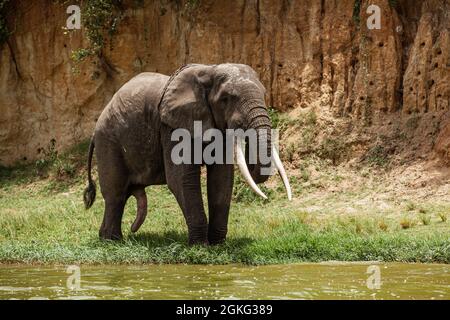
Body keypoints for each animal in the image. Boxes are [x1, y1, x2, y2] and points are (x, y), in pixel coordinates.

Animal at [83, 63, 292, 246]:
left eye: (264, 95)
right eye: (226, 99)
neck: (209, 70)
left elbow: (222, 179)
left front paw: (218, 245)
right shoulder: (171, 126)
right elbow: (181, 180)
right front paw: (200, 246)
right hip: (108, 142)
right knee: (116, 194)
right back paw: (111, 241)